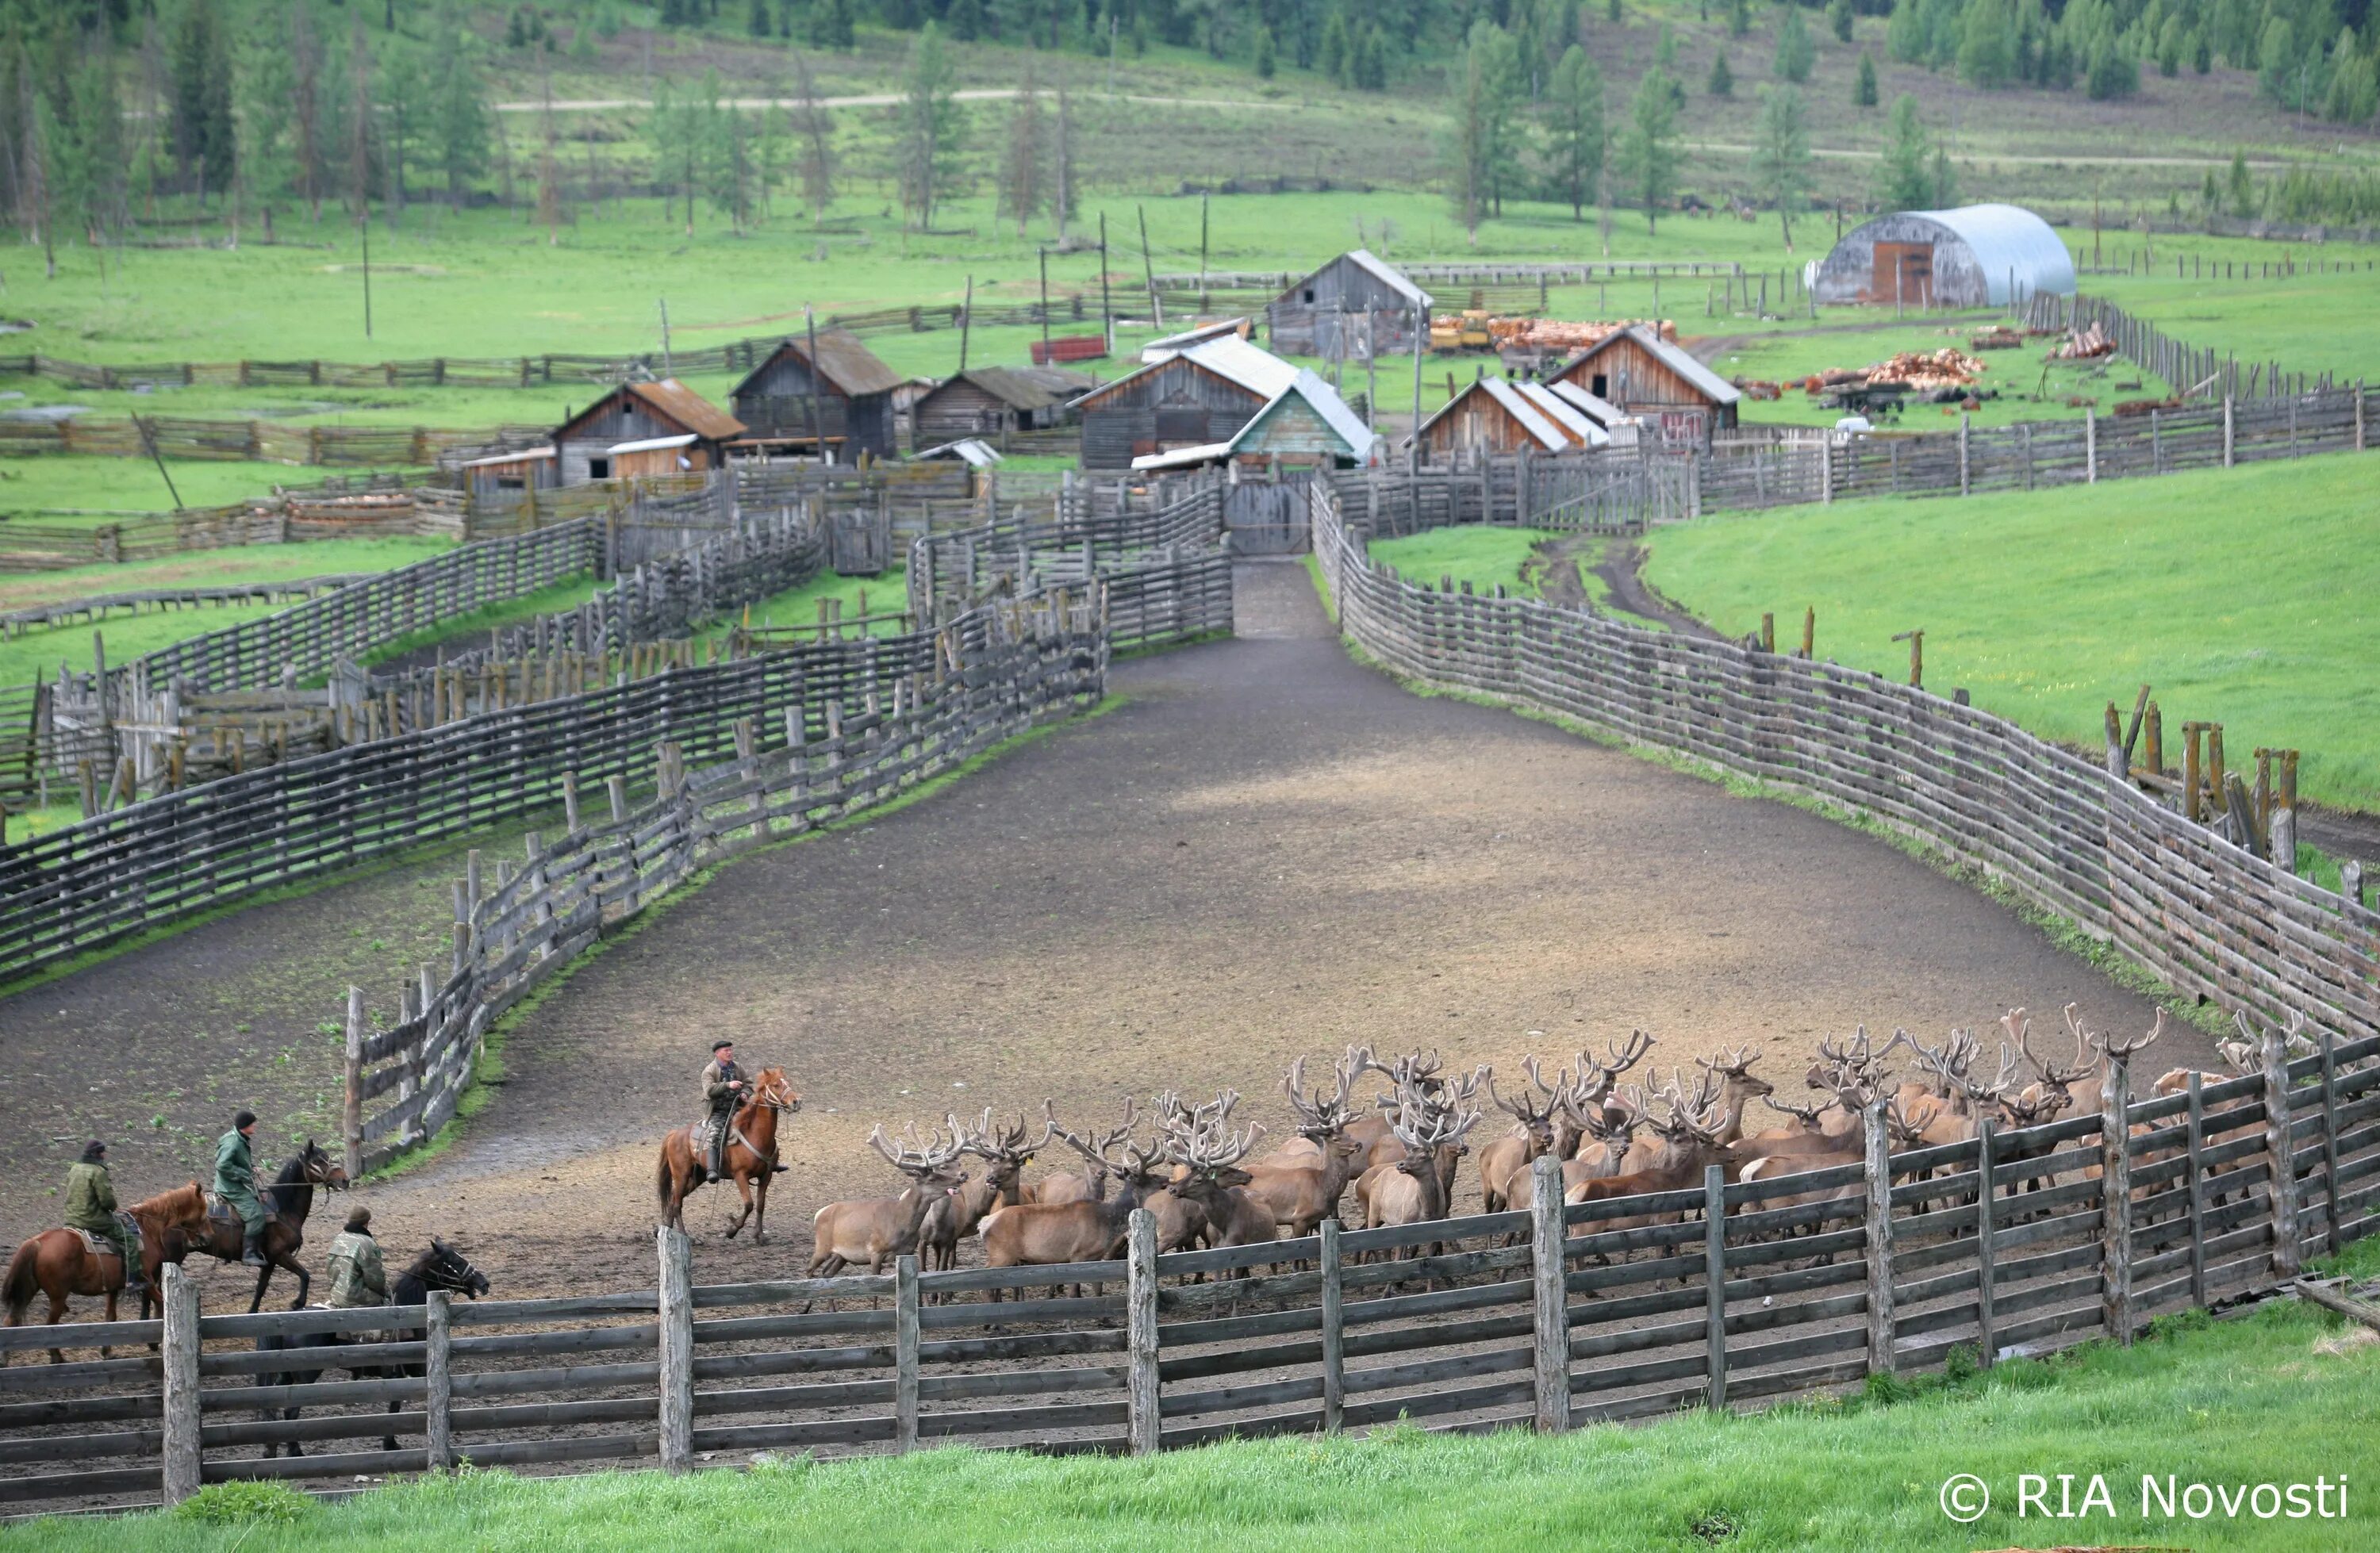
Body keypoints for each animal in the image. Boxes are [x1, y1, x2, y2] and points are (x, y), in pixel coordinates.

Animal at [2, 1189, 210, 1360]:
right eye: (203, 1211)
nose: (206, 1238)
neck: (146, 1228)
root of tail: (37, 1242)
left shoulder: (113, 1288)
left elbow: (110, 1317)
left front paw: (107, 1352)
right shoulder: (147, 1280)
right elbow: (160, 1302)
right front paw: (153, 1342)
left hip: (28, 1290)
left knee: (11, 1320)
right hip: (58, 1297)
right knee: (49, 1325)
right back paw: (57, 1358)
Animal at [186, 1137, 350, 1313]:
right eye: (318, 1160)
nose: (345, 1180)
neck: (282, 1208)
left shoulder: (269, 1262)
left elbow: (261, 1289)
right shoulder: (280, 1255)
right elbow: (305, 1275)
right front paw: (297, 1303)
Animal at [255, 1237, 488, 1455]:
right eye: (455, 1261)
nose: (484, 1283)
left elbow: (395, 1406)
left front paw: (390, 1442)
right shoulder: (409, 1372)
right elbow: (398, 1406)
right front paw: (391, 1443)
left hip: (286, 1376)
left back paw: (271, 1449)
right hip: (305, 1377)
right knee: (290, 1412)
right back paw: (295, 1451)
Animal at [657, 1060, 804, 1246]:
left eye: (788, 1081)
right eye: (776, 1085)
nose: (796, 1102)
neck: (756, 1134)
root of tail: (674, 1134)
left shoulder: (766, 1176)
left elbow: (760, 1205)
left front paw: (759, 1235)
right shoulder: (740, 1175)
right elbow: (749, 1204)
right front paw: (731, 1230)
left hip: (698, 1176)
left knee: (674, 1201)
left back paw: (666, 1231)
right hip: (681, 1175)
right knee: (677, 1205)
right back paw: (686, 1237)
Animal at [809, 1122, 966, 1275]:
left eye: (938, 1172)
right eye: (932, 1179)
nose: (959, 1180)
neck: (901, 1224)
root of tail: (819, 1214)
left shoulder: (908, 1251)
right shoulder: (875, 1251)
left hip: (843, 1256)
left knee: (827, 1273)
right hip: (822, 1246)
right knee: (809, 1269)